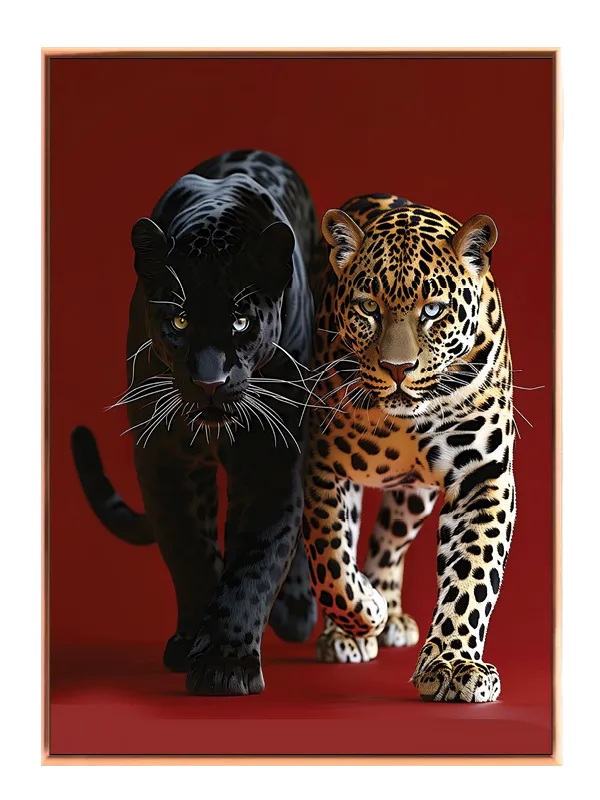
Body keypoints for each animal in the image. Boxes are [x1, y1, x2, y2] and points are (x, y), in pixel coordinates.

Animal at [303, 192, 516, 702]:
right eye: (367, 307)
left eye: (433, 310)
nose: (398, 368)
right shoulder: (322, 462)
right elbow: (329, 557)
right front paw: (365, 613)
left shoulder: (484, 475)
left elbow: (473, 574)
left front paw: (454, 665)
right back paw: (357, 626)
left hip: (414, 497)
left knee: (389, 541)